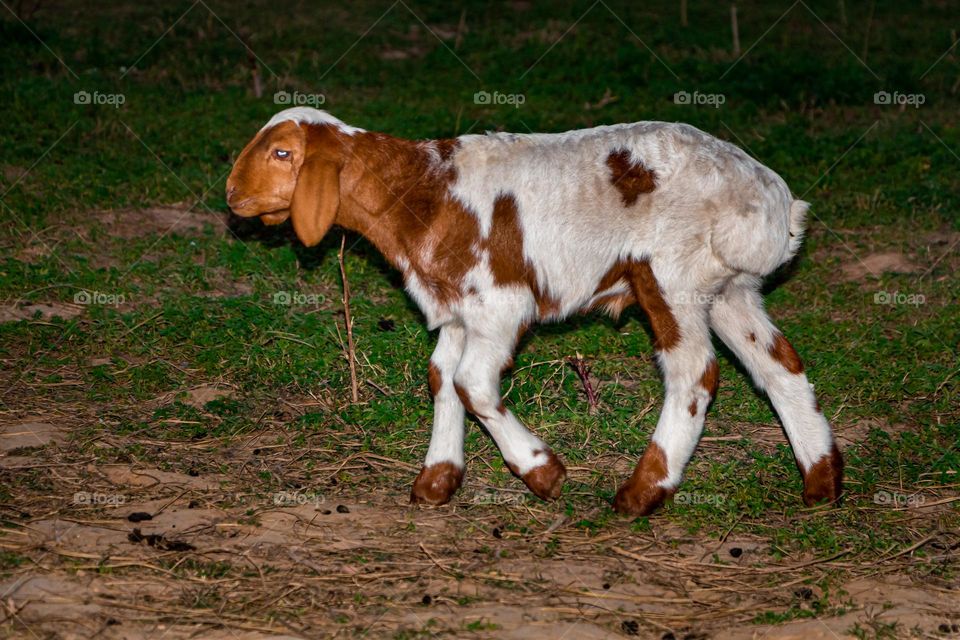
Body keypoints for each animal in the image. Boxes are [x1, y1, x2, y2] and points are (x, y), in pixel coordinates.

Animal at [226, 107, 843, 515]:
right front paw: (438, 480)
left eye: (282, 153)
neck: (421, 191)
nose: (231, 194)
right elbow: (442, 377)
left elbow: (473, 384)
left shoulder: (500, 302)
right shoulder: (458, 309)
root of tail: (772, 201)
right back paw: (821, 482)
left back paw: (641, 494)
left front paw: (543, 473)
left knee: (693, 372)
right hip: (730, 289)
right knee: (779, 367)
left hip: (674, 276)